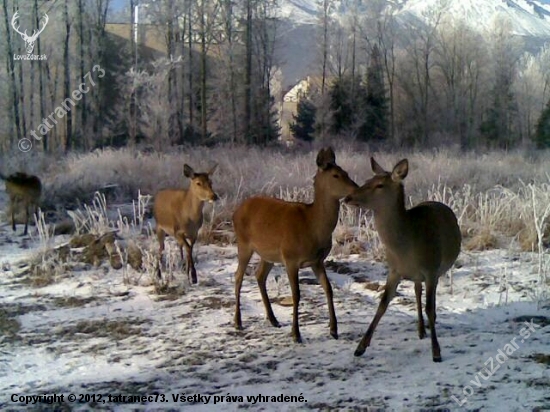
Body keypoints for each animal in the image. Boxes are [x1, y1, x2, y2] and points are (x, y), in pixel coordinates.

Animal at [232, 146, 358, 342]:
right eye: (336, 175)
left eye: (346, 172)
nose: (356, 189)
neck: (312, 226)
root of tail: (236, 211)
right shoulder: (290, 258)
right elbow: (296, 294)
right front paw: (296, 334)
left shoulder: (317, 260)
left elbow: (328, 288)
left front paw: (333, 329)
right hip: (244, 243)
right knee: (238, 276)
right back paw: (238, 322)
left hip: (268, 253)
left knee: (259, 275)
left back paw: (273, 319)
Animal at [348, 158, 464, 360]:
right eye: (368, 180)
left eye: (379, 185)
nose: (348, 197)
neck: (406, 249)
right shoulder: (394, 270)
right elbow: (382, 304)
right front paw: (360, 347)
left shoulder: (431, 269)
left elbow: (430, 308)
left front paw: (436, 352)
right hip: (419, 275)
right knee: (417, 291)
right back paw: (421, 329)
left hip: (438, 268)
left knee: (429, 298)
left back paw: (429, 325)